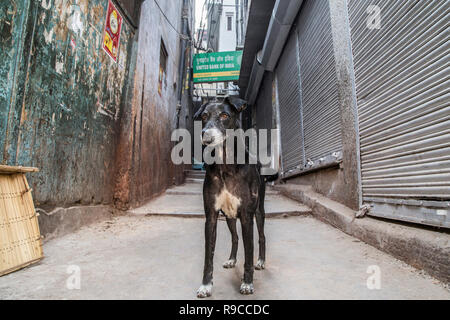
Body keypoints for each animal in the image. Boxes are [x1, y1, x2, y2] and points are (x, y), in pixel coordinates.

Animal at [195, 97, 276, 298]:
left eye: (225, 115)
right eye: (204, 116)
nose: (206, 137)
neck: (225, 165)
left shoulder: (247, 216)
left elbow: (248, 254)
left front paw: (247, 283)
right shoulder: (211, 217)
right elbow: (208, 256)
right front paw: (206, 285)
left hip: (259, 212)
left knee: (262, 237)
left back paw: (261, 261)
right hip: (229, 216)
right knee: (235, 237)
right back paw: (232, 260)